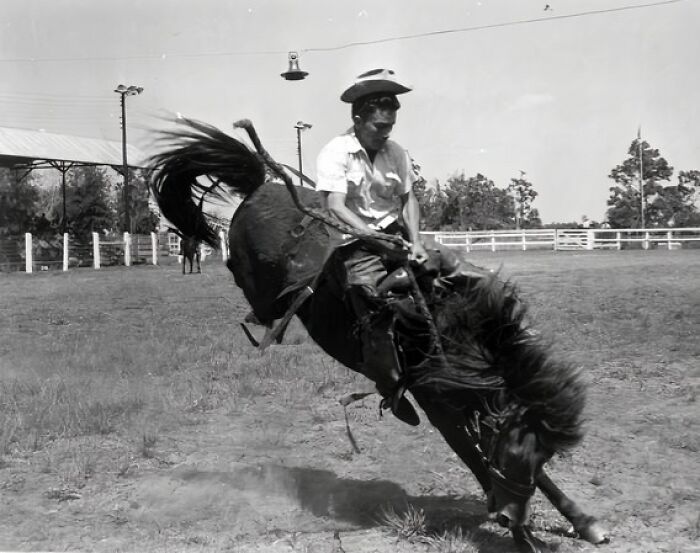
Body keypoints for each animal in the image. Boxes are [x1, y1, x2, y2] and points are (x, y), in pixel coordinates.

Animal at [149, 118, 608, 553]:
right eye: (515, 450)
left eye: (542, 452)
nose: (508, 515)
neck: (445, 328)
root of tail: (262, 186)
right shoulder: (439, 404)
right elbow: (475, 461)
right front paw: (523, 535)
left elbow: (519, 471)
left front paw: (582, 523)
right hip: (255, 277)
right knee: (253, 291)